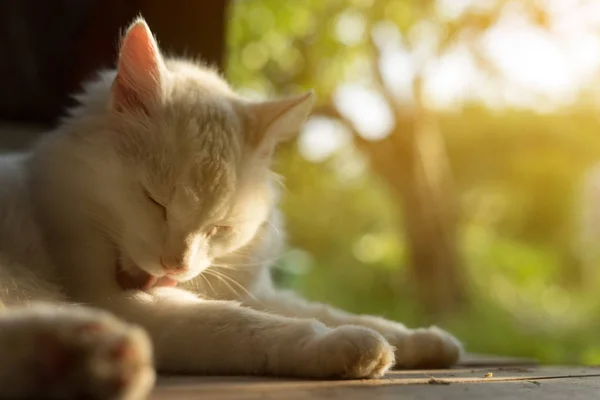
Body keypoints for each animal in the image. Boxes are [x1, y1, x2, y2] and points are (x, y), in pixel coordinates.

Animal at [0, 18, 462, 400]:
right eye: (154, 201)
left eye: (218, 228)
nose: (175, 265)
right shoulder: (123, 303)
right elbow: (245, 325)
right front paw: (350, 346)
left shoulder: (258, 293)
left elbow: (330, 311)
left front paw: (425, 341)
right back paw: (94, 357)